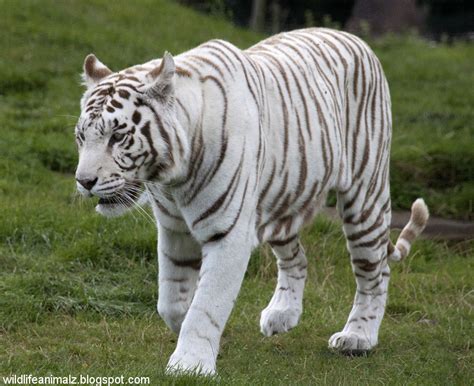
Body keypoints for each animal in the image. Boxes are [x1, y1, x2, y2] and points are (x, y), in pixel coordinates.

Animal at [74, 28, 430, 376]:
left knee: (375, 272)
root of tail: (355, 39)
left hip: (364, 197)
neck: (172, 179)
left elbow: (207, 303)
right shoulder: (174, 229)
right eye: (81, 137)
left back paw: (358, 337)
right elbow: (171, 301)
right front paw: (197, 339)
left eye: (117, 136)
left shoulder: (227, 233)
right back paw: (283, 314)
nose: (84, 181)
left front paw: (190, 363)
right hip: (281, 200)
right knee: (297, 259)